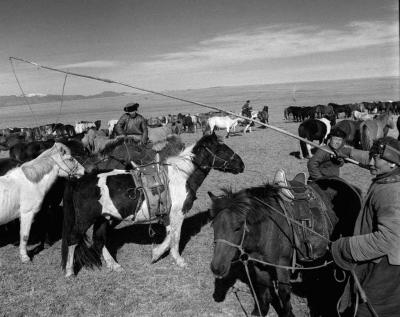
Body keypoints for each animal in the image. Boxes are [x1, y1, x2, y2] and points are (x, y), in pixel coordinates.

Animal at [61, 132, 245, 276]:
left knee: (98, 240)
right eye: (222, 149)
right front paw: (179, 261)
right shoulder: (178, 214)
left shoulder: (169, 216)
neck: (181, 175)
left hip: (104, 218)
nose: (241, 164)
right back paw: (69, 271)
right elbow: (175, 237)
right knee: (73, 239)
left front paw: (156, 254)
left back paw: (114, 265)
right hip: (86, 219)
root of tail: (80, 180)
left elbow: (170, 236)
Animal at [208, 175, 360, 316]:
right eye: (213, 225)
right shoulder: (259, 264)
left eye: (238, 227)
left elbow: (283, 292)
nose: (217, 267)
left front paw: (288, 313)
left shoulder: (282, 264)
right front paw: (261, 311)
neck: (268, 229)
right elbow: (263, 287)